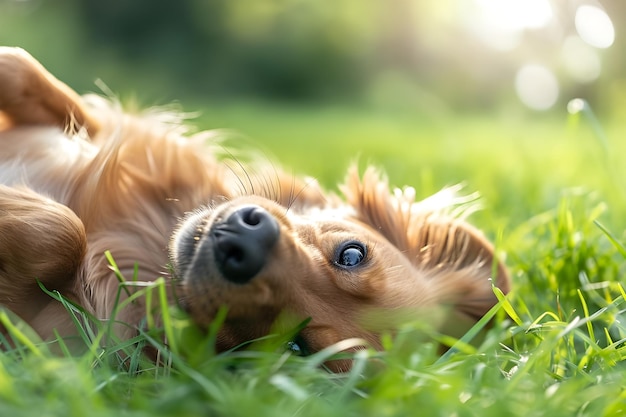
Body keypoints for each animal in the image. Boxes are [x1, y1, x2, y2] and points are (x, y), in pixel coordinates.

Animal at [0, 47, 508, 368]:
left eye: (295, 347)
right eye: (351, 254)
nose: (244, 246)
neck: (144, 237)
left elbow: (63, 228)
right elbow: (25, 70)